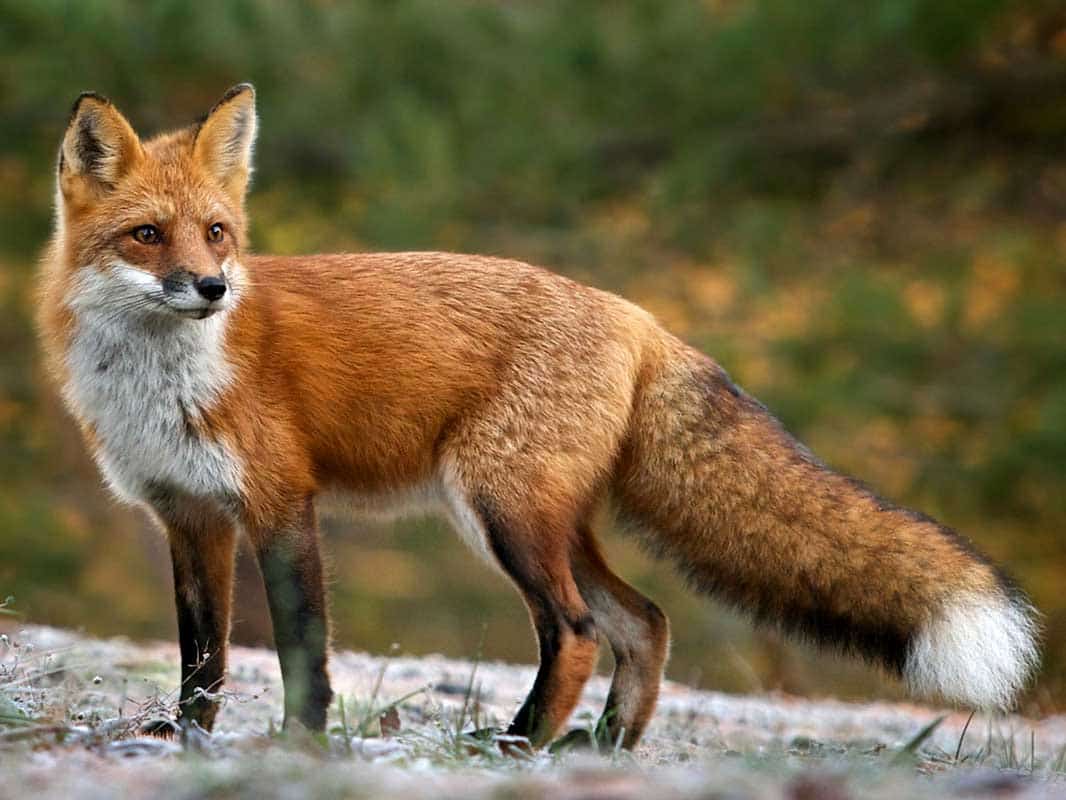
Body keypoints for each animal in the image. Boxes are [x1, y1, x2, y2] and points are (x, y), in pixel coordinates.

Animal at [37, 84, 1036, 750]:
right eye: (146, 236)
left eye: (217, 233)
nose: (212, 288)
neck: (161, 382)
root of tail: (640, 318)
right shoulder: (188, 516)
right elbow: (201, 658)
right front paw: (186, 741)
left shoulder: (282, 502)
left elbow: (301, 649)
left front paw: (300, 744)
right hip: (543, 521)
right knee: (646, 622)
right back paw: (602, 749)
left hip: (503, 515)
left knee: (582, 631)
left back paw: (516, 744)